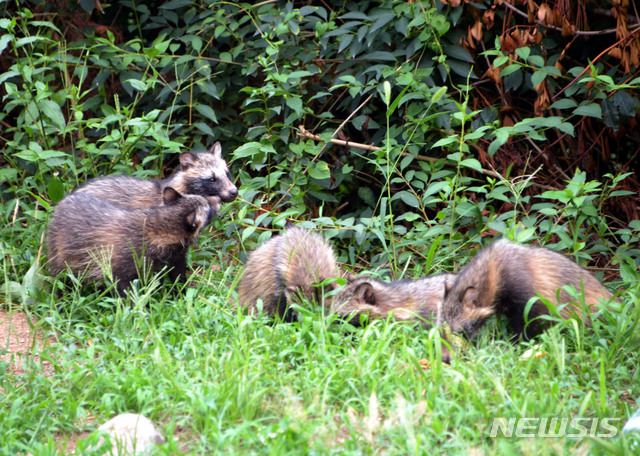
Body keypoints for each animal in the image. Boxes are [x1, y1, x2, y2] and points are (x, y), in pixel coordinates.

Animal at [47, 188, 218, 292]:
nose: (217, 198)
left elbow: (178, 277)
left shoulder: (176, 256)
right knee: (61, 279)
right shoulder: (122, 263)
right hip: (59, 252)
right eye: (208, 206)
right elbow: (124, 289)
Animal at [438, 239, 612, 342]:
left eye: (459, 332)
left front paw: (518, 343)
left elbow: (527, 324)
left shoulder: (529, 299)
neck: (493, 270)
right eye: (441, 331)